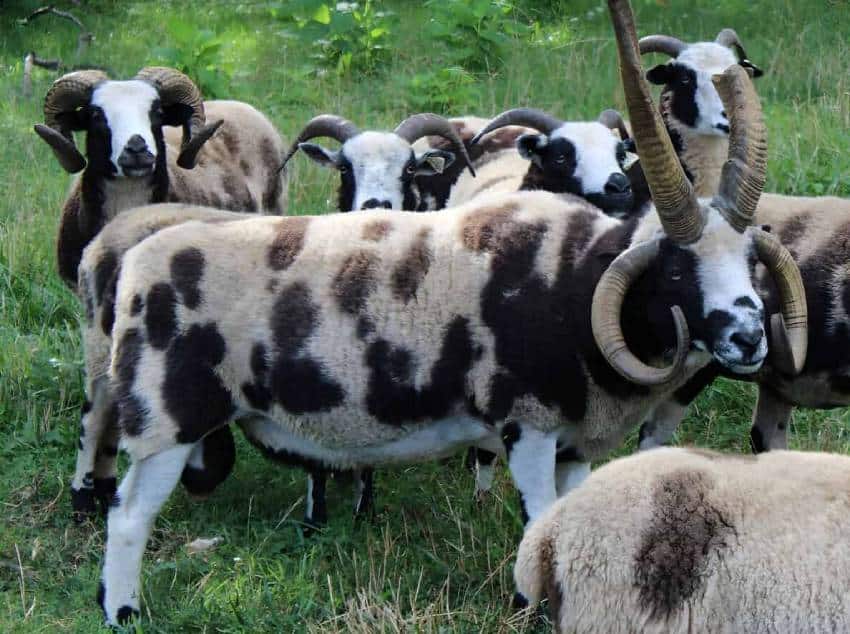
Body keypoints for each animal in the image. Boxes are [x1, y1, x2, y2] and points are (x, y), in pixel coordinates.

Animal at [34, 67, 288, 519]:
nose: (137, 149)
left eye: (154, 112)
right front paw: (88, 491)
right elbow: (99, 407)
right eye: (95, 116)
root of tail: (240, 106)